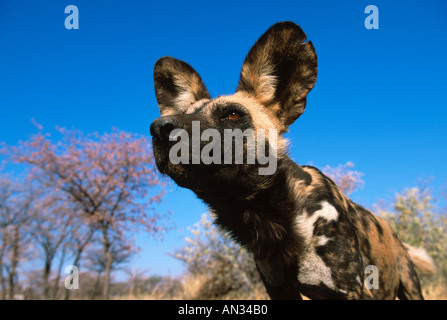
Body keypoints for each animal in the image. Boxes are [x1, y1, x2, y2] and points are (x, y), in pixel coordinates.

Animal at [150, 21, 434, 298]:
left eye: (232, 115)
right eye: (184, 113)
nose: (159, 128)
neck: (270, 217)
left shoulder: (353, 290)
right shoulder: (279, 290)